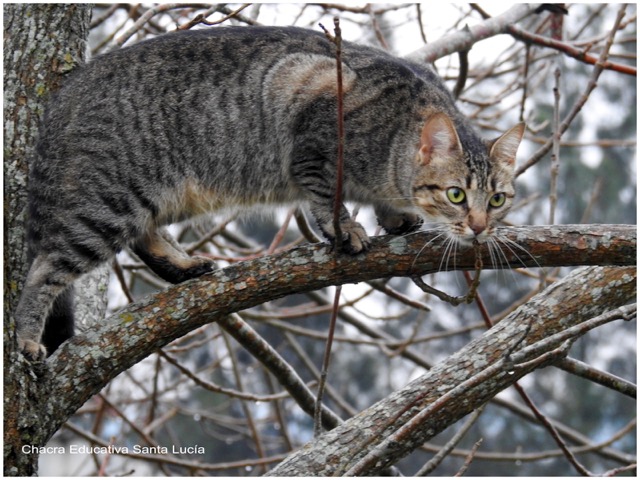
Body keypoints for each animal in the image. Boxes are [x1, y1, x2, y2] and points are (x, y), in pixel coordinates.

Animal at [16, 24, 524, 358]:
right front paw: (345, 227)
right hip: (110, 199)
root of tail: (65, 93)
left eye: (497, 200)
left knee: (145, 237)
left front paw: (394, 217)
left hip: (168, 195)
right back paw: (26, 337)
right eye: (456, 195)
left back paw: (185, 266)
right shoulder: (312, 115)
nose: (479, 227)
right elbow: (324, 194)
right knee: (44, 270)